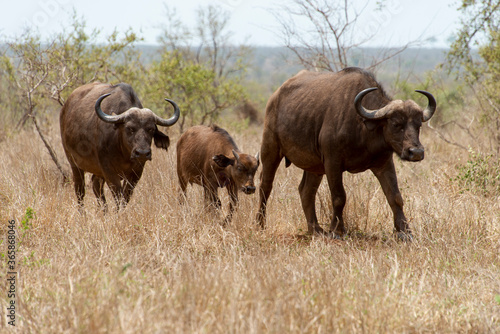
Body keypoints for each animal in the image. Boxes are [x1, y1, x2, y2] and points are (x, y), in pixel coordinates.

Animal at [256, 66, 436, 239]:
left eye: (418, 125)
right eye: (396, 124)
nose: (416, 152)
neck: (363, 127)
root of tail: (275, 97)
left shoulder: (384, 164)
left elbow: (395, 197)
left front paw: (405, 231)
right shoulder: (332, 163)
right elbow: (339, 197)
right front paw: (337, 230)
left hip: (315, 167)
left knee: (306, 191)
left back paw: (315, 229)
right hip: (270, 150)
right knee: (265, 186)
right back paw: (260, 224)